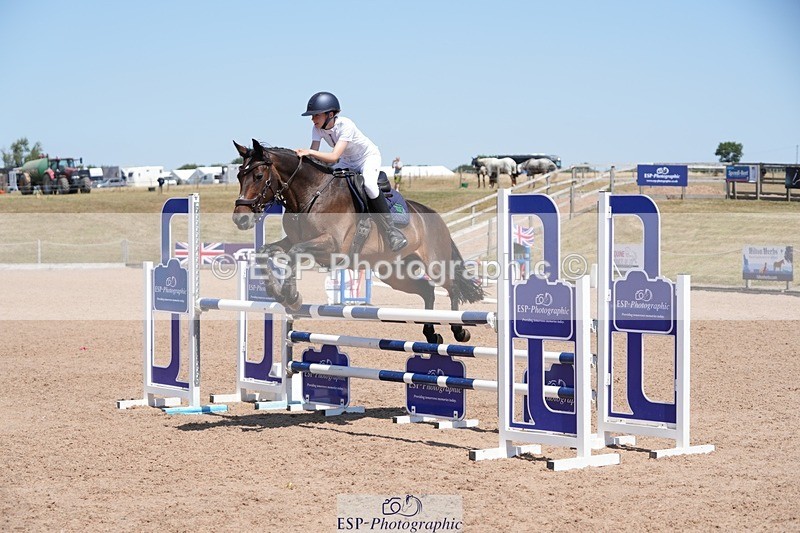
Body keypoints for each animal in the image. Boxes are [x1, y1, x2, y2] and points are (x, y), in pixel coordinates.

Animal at [232, 139, 485, 344]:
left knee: (451, 287)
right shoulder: (295, 240)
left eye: (258, 176)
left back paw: (459, 331)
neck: (312, 194)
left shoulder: (332, 245)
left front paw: (292, 297)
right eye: (239, 176)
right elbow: (265, 251)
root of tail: (435, 216)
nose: (240, 219)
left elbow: (295, 251)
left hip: (434, 264)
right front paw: (275, 292)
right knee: (428, 291)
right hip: (395, 273)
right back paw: (431, 333)